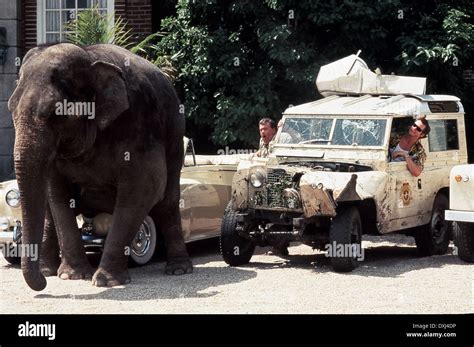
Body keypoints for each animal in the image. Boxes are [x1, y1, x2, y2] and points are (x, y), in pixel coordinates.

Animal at [7, 43, 193, 290]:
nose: (43, 286)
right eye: (11, 110)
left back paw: (179, 270)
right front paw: (72, 276)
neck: (89, 57)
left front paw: (105, 281)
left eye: (55, 113)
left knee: (168, 200)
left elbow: (143, 189)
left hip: (175, 132)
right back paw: (48, 270)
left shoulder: (140, 126)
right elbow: (57, 195)